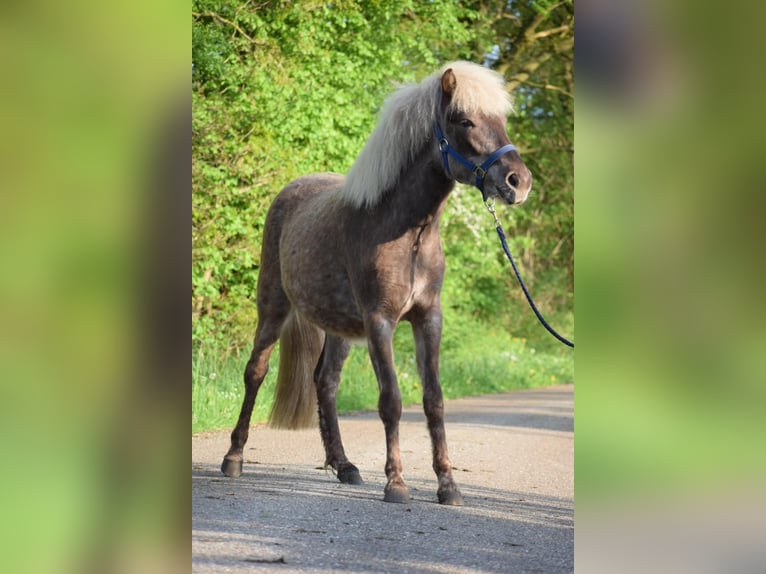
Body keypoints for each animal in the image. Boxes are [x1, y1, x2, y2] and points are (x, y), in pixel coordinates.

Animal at [222, 60, 536, 506]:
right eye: (464, 120)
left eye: (503, 122)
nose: (518, 182)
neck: (406, 231)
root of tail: (291, 191)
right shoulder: (380, 321)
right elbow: (391, 400)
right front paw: (397, 484)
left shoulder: (428, 320)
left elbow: (434, 400)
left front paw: (448, 485)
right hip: (273, 306)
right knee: (255, 372)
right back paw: (233, 458)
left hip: (337, 327)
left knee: (326, 383)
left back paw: (345, 466)